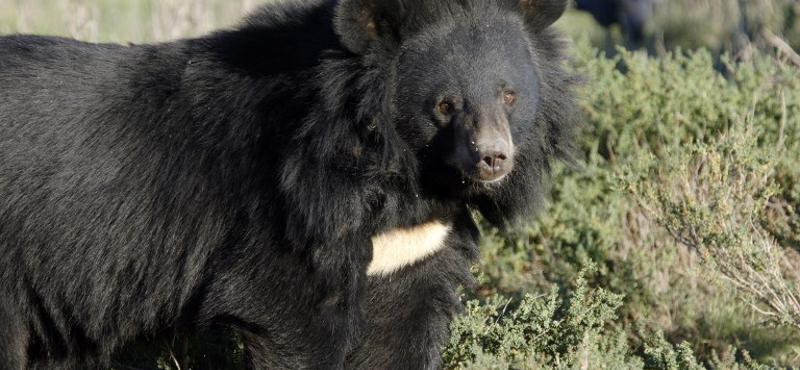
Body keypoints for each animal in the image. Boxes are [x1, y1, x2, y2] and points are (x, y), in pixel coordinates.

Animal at [0, 0, 576, 368]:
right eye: (444, 104)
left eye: (508, 95)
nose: (493, 159)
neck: (399, 173)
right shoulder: (287, 213)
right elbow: (291, 313)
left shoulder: (417, 245)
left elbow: (401, 331)